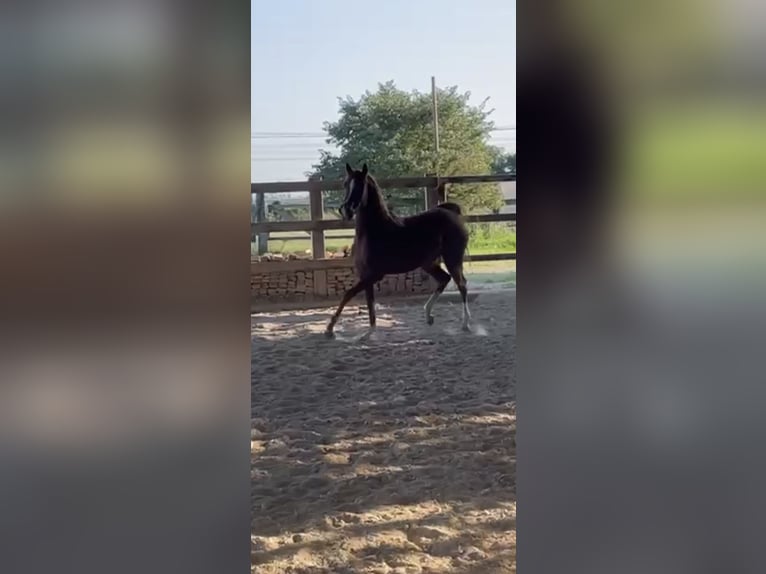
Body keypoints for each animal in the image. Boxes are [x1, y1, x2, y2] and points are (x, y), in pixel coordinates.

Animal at [324, 162, 472, 338]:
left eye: (361, 185)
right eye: (346, 184)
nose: (346, 210)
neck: (375, 230)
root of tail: (452, 213)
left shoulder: (374, 275)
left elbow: (349, 294)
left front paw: (330, 328)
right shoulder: (365, 275)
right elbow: (369, 302)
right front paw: (369, 332)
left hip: (453, 258)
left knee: (461, 284)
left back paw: (465, 324)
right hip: (428, 263)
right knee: (444, 279)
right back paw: (428, 316)